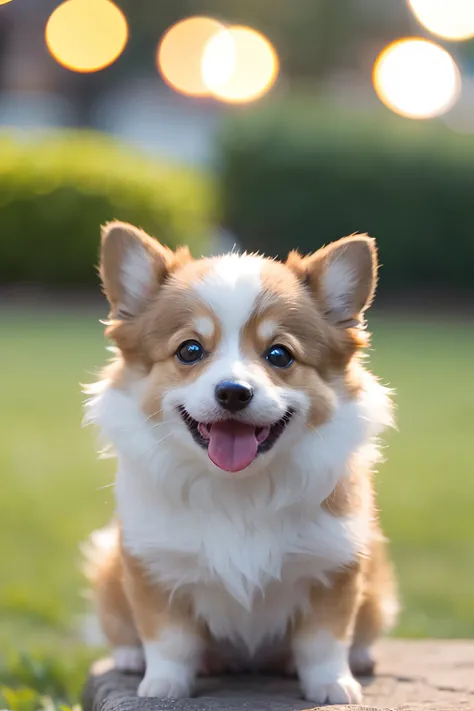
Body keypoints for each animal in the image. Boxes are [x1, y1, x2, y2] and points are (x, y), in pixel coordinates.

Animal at [83, 221, 398, 708]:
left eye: (280, 355)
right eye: (190, 351)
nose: (233, 392)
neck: (238, 488)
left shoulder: (334, 566)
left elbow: (324, 641)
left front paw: (333, 687)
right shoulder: (154, 567)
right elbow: (169, 641)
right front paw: (162, 687)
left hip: (378, 591)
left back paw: (359, 659)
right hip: (109, 572)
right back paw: (130, 658)